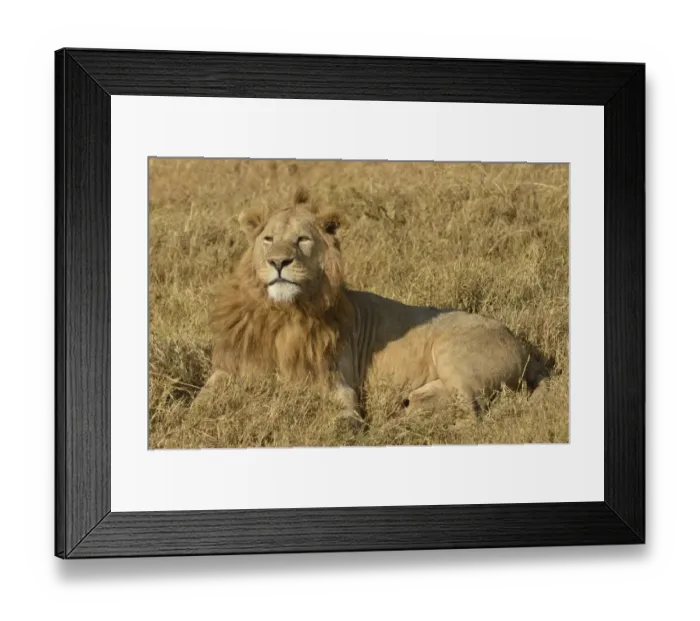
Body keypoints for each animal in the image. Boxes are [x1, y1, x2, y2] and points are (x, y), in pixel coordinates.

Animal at [205, 189, 548, 430]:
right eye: (268, 239)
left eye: (302, 239)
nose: (278, 262)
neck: (284, 313)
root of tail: (523, 346)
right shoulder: (229, 369)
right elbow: (201, 401)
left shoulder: (340, 386)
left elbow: (344, 420)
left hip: (454, 352)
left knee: (471, 414)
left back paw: (394, 428)